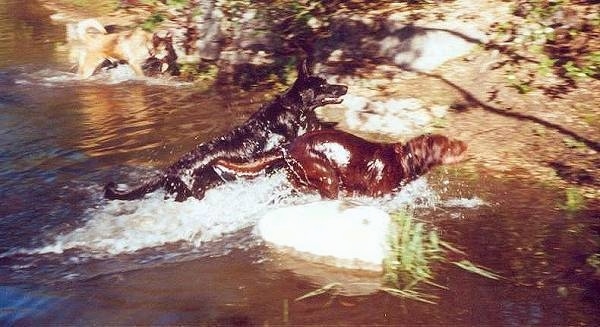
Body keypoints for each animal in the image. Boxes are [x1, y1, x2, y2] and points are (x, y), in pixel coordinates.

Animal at [214, 129, 468, 199]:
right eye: (450, 145)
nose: (467, 145)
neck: (404, 161)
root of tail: (287, 147)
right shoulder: (379, 194)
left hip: (298, 178)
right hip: (326, 175)